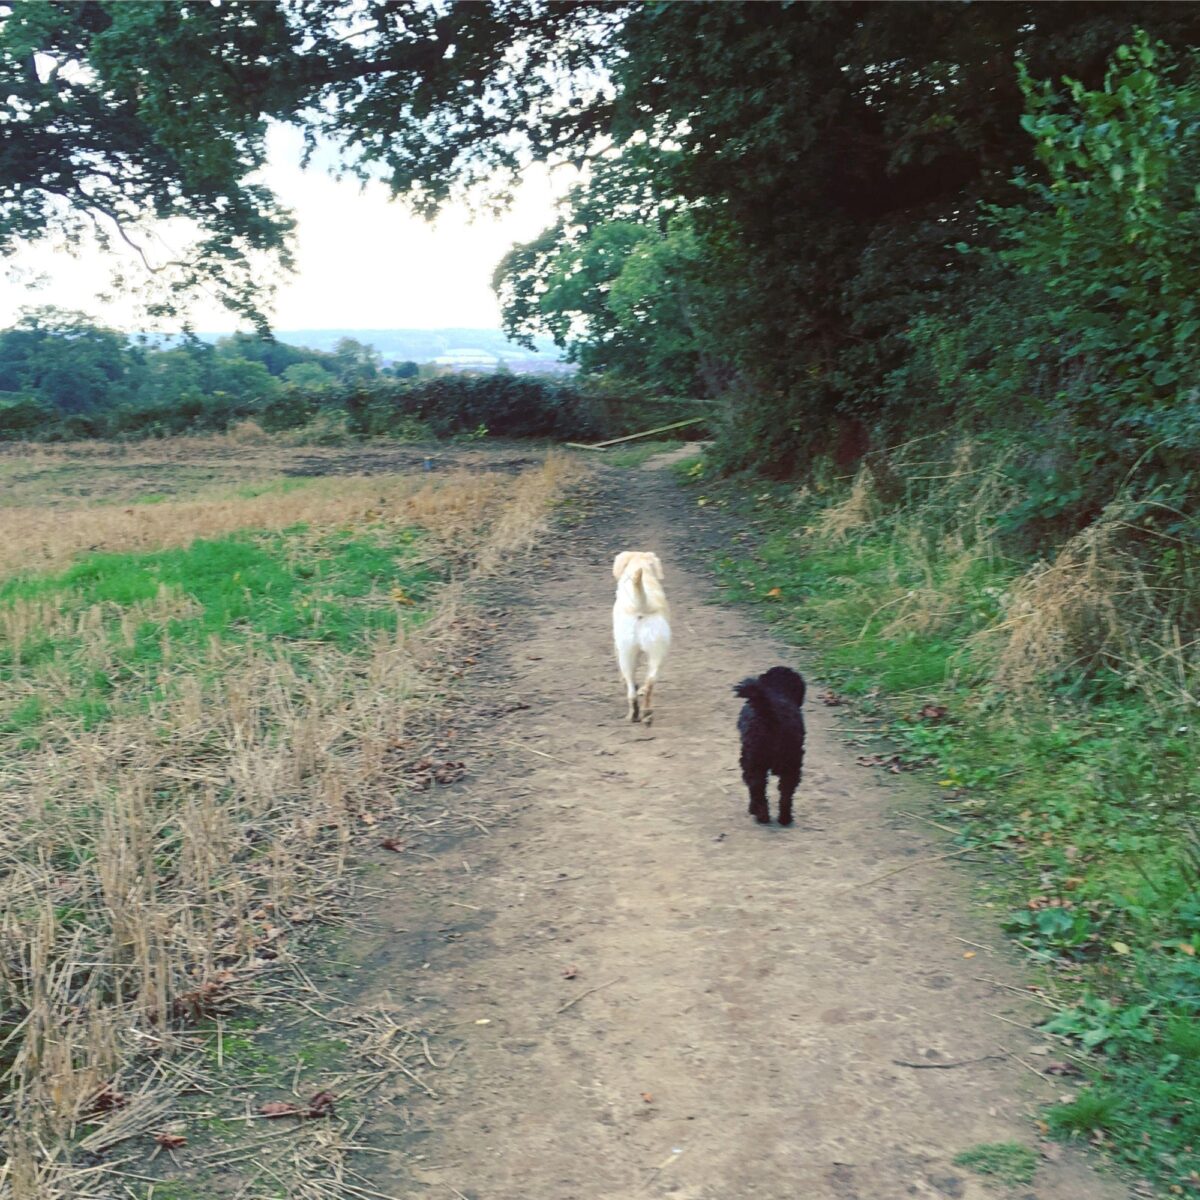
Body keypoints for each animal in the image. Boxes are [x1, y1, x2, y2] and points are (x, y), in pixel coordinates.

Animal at [614, 549, 672, 720]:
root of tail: (642, 605)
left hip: (626, 656)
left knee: (631, 688)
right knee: (650, 681)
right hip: (658, 653)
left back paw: (634, 713)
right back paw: (646, 711)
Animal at [729, 667, 806, 825]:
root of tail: (771, 714)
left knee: (757, 789)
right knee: (786, 794)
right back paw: (784, 818)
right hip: (792, 765)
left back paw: (761, 815)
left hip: (753, 763)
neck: (778, 690)